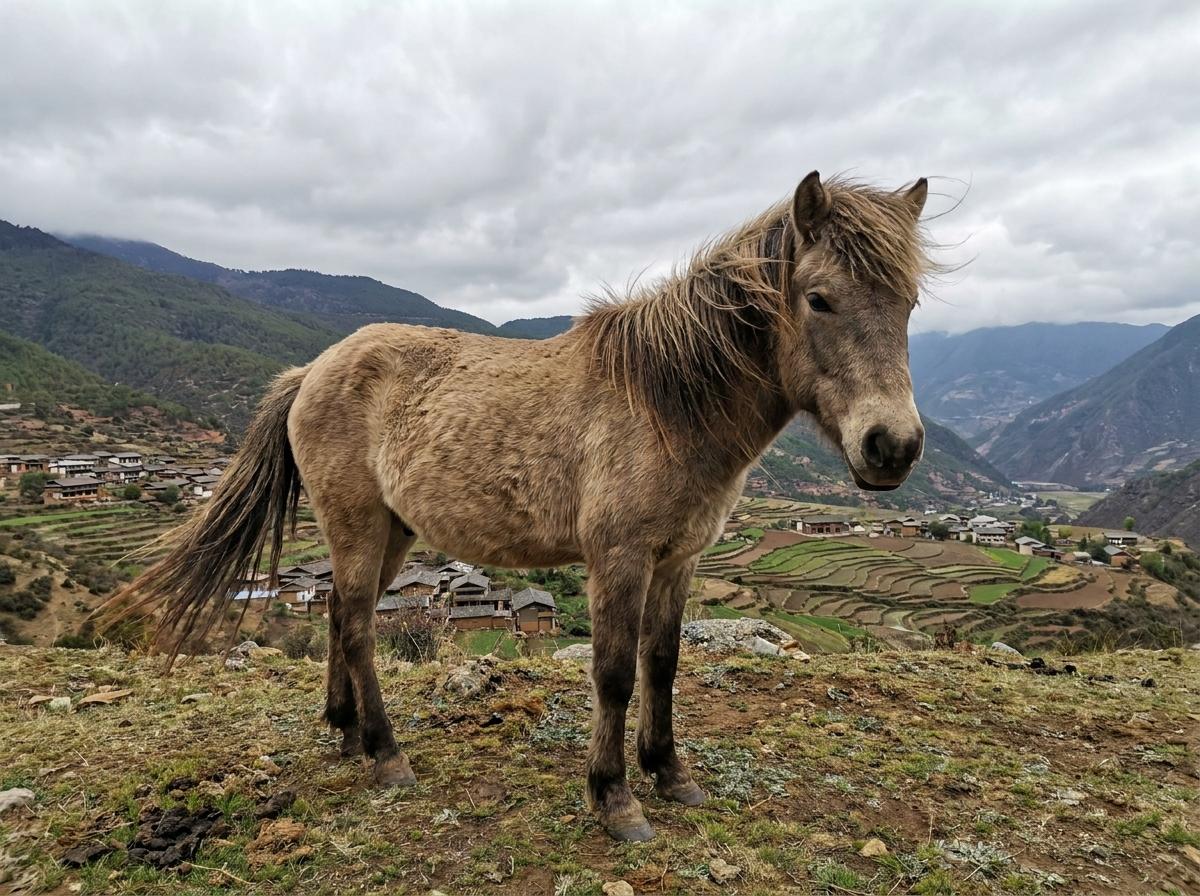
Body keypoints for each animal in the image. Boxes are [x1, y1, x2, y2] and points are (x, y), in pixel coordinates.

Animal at [107, 171, 934, 841]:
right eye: (819, 299)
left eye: (909, 304)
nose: (892, 447)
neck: (664, 401)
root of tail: (312, 370)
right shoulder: (618, 559)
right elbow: (614, 672)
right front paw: (615, 799)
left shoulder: (679, 560)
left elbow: (664, 663)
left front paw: (671, 774)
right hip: (356, 524)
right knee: (358, 626)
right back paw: (387, 756)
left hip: (392, 535)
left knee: (344, 617)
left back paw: (346, 735)